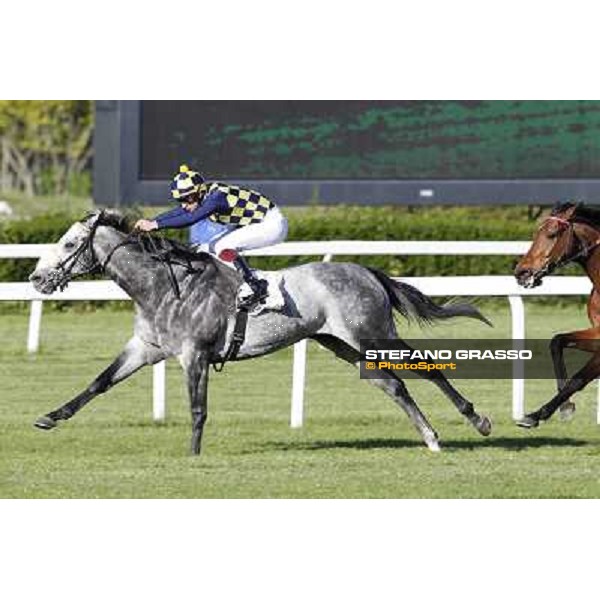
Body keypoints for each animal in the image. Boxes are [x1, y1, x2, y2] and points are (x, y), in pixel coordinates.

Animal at [29, 211, 492, 454]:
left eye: (69, 244)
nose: (35, 278)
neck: (163, 285)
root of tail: (367, 271)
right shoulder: (145, 348)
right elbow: (98, 383)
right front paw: (49, 417)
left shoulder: (194, 354)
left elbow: (197, 408)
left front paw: (193, 455)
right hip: (344, 345)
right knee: (394, 386)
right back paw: (430, 437)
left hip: (372, 335)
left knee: (427, 366)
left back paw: (477, 420)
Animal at [512, 202, 600, 426]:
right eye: (536, 232)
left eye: (552, 234)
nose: (521, 272)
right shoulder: (597, 333)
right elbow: (557, 341)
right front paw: (564, 406)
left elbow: (578, 379)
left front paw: (537, 415)